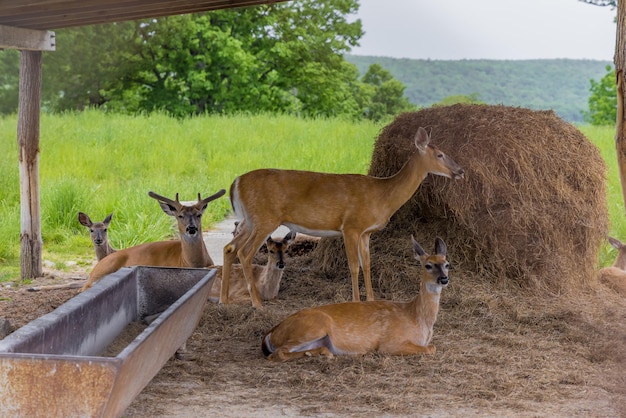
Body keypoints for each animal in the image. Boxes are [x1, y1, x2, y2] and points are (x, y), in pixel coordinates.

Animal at [221, 125, 464, 308]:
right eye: (440, 154)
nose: (460, 171)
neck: (382, 195)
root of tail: (236, 182)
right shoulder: (351, 226)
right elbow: (353, 265)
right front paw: (356, 301)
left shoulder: (366, 233)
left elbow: (367, 264)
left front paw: (372, 300)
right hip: (265, 218)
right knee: (245, 253)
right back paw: (257, 304)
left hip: (249, 220)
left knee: (230, 247)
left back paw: (225, 301)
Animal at [260, 237, 450, 360]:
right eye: (428, 265)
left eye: (447, 264)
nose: (444, 279)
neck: (416, 317)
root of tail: (271, 333)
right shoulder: (390, 343)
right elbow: (431, 348)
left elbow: (432, 346)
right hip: (312, 327)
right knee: (278, 354)